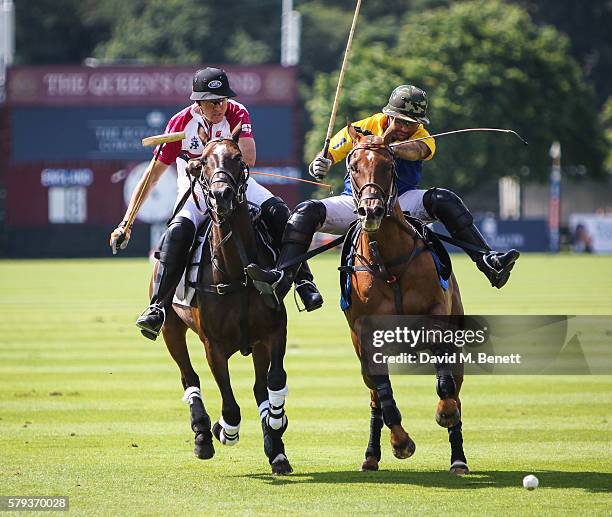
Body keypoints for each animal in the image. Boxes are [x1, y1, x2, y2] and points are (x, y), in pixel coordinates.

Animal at [155, 130, 294, 476]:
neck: (236, 272)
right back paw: (203, 435)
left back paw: (275, 448)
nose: (221, 195)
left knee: (259, 387)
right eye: (204, 161)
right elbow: (230, 407)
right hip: (170, 328)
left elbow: (274, 380)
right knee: (188, 377)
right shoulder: (213, 345)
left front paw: (277, 420)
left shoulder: (273, 332)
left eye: (238, 158)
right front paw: (223, 431)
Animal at [344, 123, 468, 474]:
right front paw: (400, 442)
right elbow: (385, 397)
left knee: (456, 386)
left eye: (389, 166)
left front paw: (445, 412)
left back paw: (459, 458)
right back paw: (371, 455)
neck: (389, 261)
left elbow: (445, 386)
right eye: (354, 166)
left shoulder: (437, 315)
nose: (371, 210)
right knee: (375, 398)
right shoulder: (366, 333)